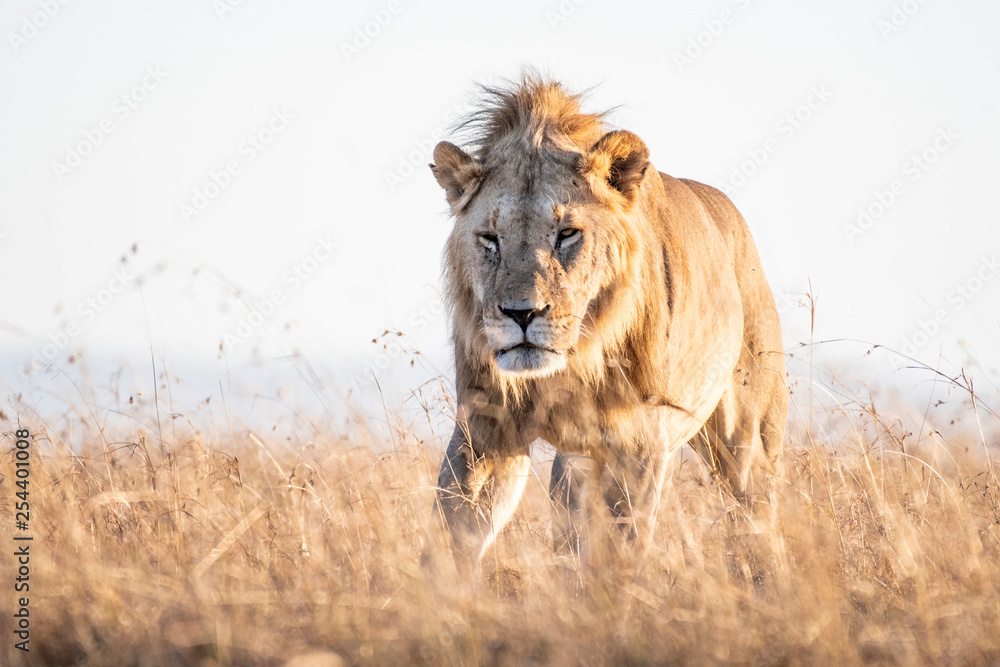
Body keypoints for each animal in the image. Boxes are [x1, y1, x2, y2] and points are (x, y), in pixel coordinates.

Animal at [429, 74, 787, 569]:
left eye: (567, 234)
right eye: (490, 239)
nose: (521, 313)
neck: (572, 362)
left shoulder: (637, 440)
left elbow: (619, 554)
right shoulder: (485, 427)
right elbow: (454, 533)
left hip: (745, 438)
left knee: (758, 511)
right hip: (577, 461)